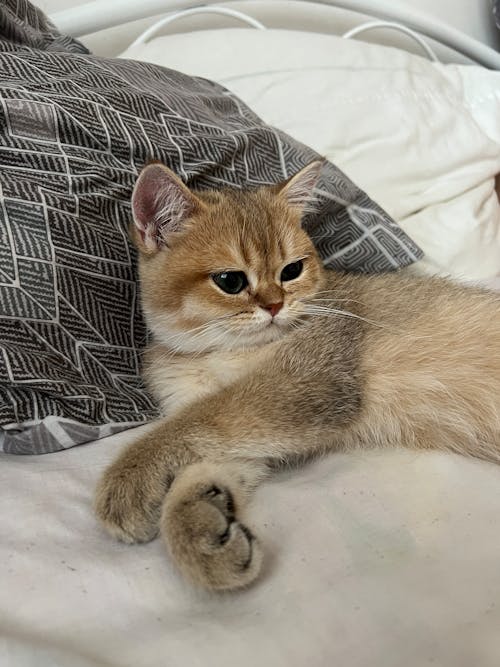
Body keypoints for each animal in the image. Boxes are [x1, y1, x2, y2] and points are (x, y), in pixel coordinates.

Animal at [95, 162, 500, 588]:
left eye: (292, 270)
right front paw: (200, 533)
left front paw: (128, 479)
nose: (275, 305)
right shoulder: (249, 432)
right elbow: (207, 460)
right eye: (230, 281)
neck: (215, 352)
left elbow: (198, 420)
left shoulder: (305, 384)